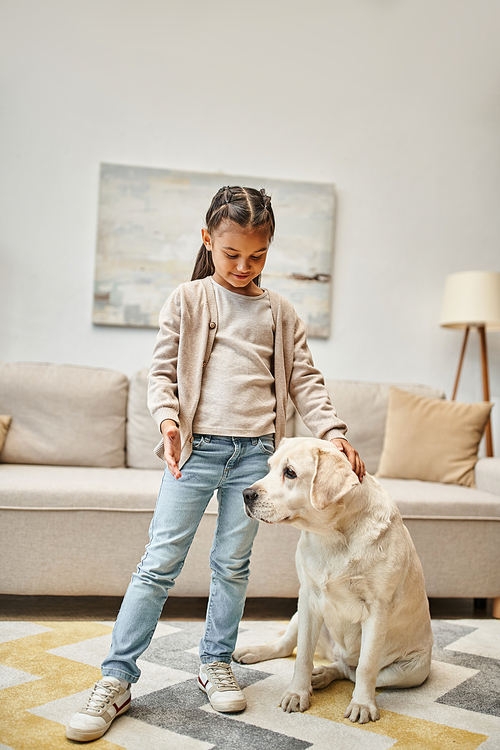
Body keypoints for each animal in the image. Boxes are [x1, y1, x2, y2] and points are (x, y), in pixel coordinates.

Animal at [234, 438, 434, 724]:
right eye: (269, 467)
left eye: (290, 473)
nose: (246, 494)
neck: (333, 536)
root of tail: (337, 653)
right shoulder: (308, 597)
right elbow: (303, 656)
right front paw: (297, 693)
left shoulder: (377, 610)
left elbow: (366, 667)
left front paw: (363, 704)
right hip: (299, 615)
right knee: (286, 646)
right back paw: (257, 652)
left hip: (411, 671)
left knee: (350, 670)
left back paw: (324, 674)